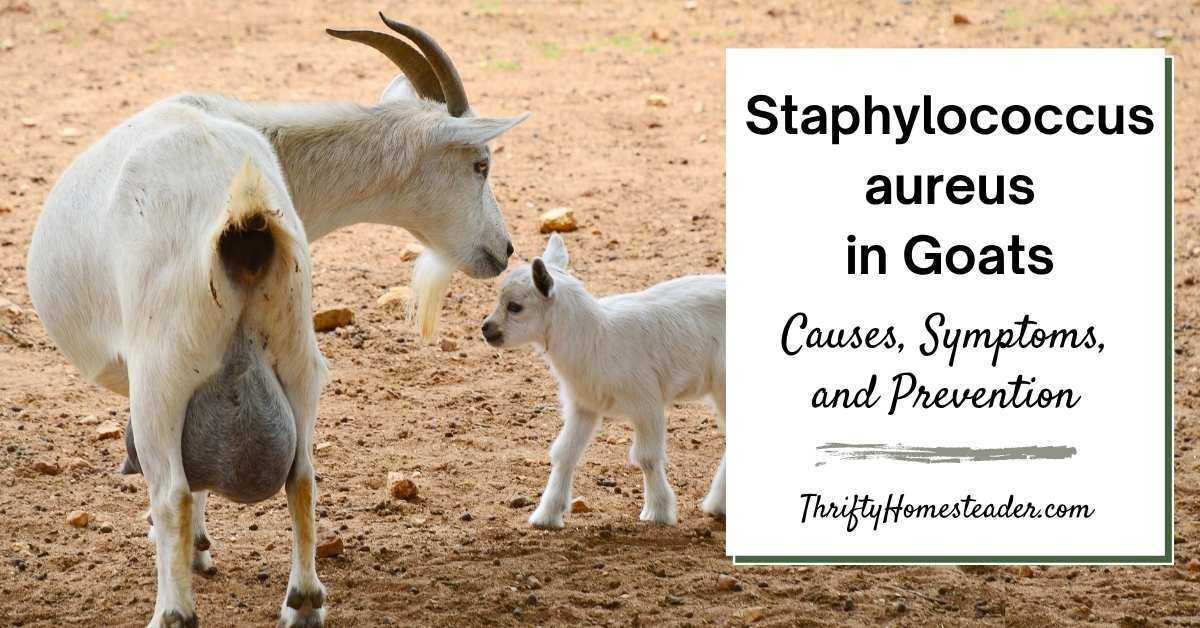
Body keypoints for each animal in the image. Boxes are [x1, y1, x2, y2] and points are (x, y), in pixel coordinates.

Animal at [25, 14, 527, 627]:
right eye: (480, 164)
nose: (503, 250)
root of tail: (244, 215)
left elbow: (184, 485)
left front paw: (197, 552)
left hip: (160, 378)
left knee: (171, 492)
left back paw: (173, 611)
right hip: (298, 355)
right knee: (303, 475)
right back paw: (304, 602)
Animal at [481, 234, 726, 528]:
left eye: (515, 307)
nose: (486, 329)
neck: (598, 336)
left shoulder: (646, 401)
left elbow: (646, 457)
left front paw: (658, 512)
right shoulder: (584, 404)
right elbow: (564, 453)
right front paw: (547, 515)